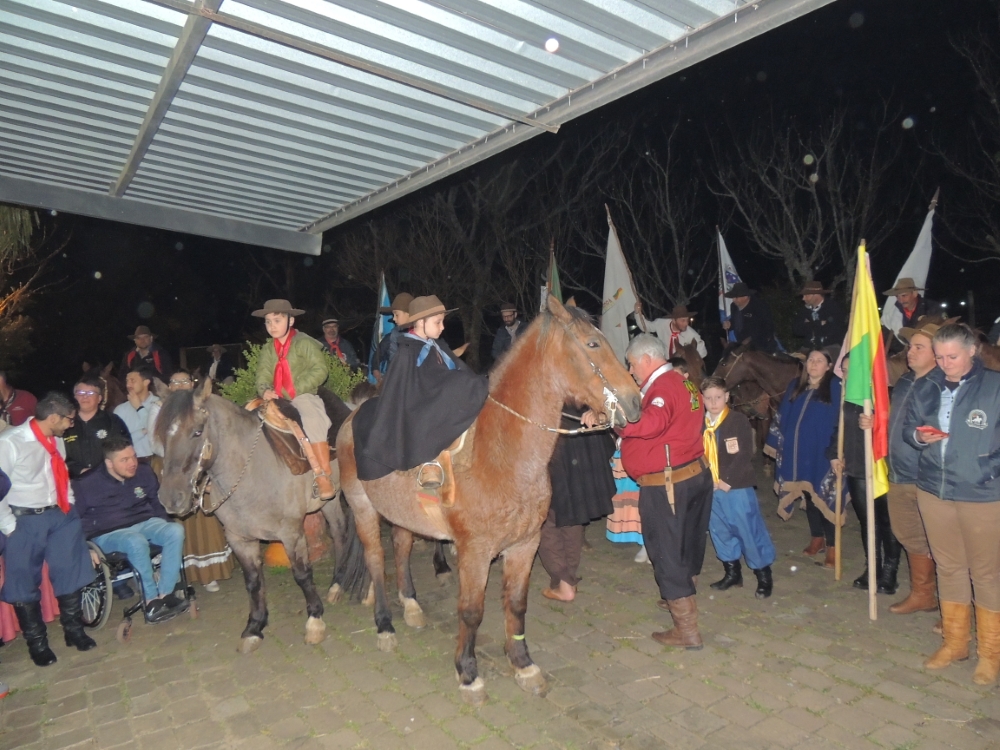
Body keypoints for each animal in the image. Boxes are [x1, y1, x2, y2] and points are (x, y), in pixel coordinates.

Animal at [153, 380, 367, 653]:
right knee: (339, 530)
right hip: (326, 501)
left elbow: (302, 574)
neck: (252, 472)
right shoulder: (239, 539)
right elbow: (253, 582)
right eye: (162, 435)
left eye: (197, 432)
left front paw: (315, 619)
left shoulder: (291, 534)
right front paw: (254, 626)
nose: (170, 497)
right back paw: (337, 584)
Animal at [333, 296, 641, 705]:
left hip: (401, 516)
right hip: (364, 509)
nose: (635, 403)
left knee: (400, 548)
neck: (502, 454)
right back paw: (385, 626)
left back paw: (411, 605)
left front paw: (523, 664)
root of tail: (352, 418)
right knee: (375, 560)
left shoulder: (525, 545)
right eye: (592, 344)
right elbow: (471, 611)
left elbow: (516, 604)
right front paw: (468, 672)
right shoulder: (475, 552)